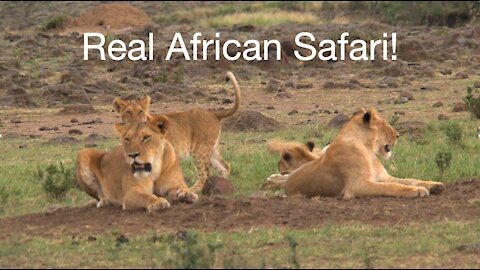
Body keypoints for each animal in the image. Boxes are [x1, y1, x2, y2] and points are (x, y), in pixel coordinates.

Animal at [112, 72, 240, 194]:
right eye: (128, 112)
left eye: (140, 111)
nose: (136, 122)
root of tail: (213, 114)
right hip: (210, 149)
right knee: (225, 166)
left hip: (199, 150)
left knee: (205, 173)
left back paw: (192, 190)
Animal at [264, 108, 444, 200]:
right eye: (385, 125)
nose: (398, 135)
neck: (368, 150)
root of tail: (287, 186)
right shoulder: (357, 185)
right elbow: (391, 187)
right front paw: (417, 191)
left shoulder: (384, 177)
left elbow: (408, 180)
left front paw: (434, 185)